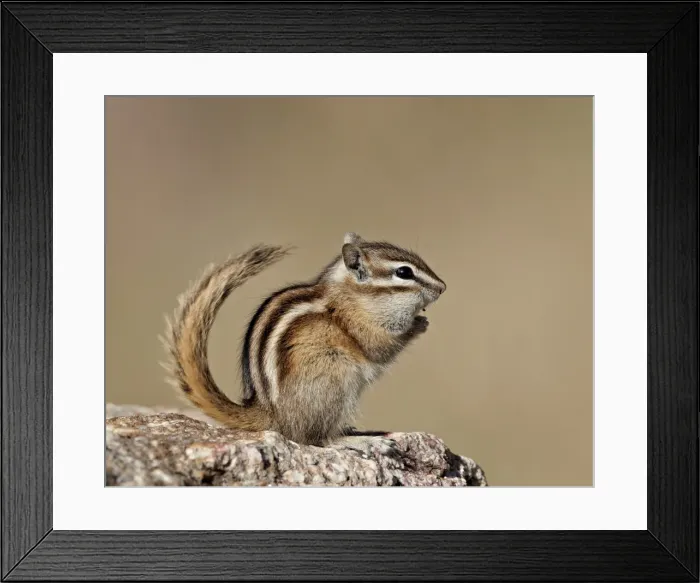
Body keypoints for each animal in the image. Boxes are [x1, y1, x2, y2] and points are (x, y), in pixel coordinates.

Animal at [161, 232, 446, 453]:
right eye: (404, 272)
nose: (442, 287)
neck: (351, 295)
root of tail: (272, 414)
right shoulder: (360, 327)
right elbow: (379, 346)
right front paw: (418, 324)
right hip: (334, 379)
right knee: (313, 438)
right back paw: (358, 440)